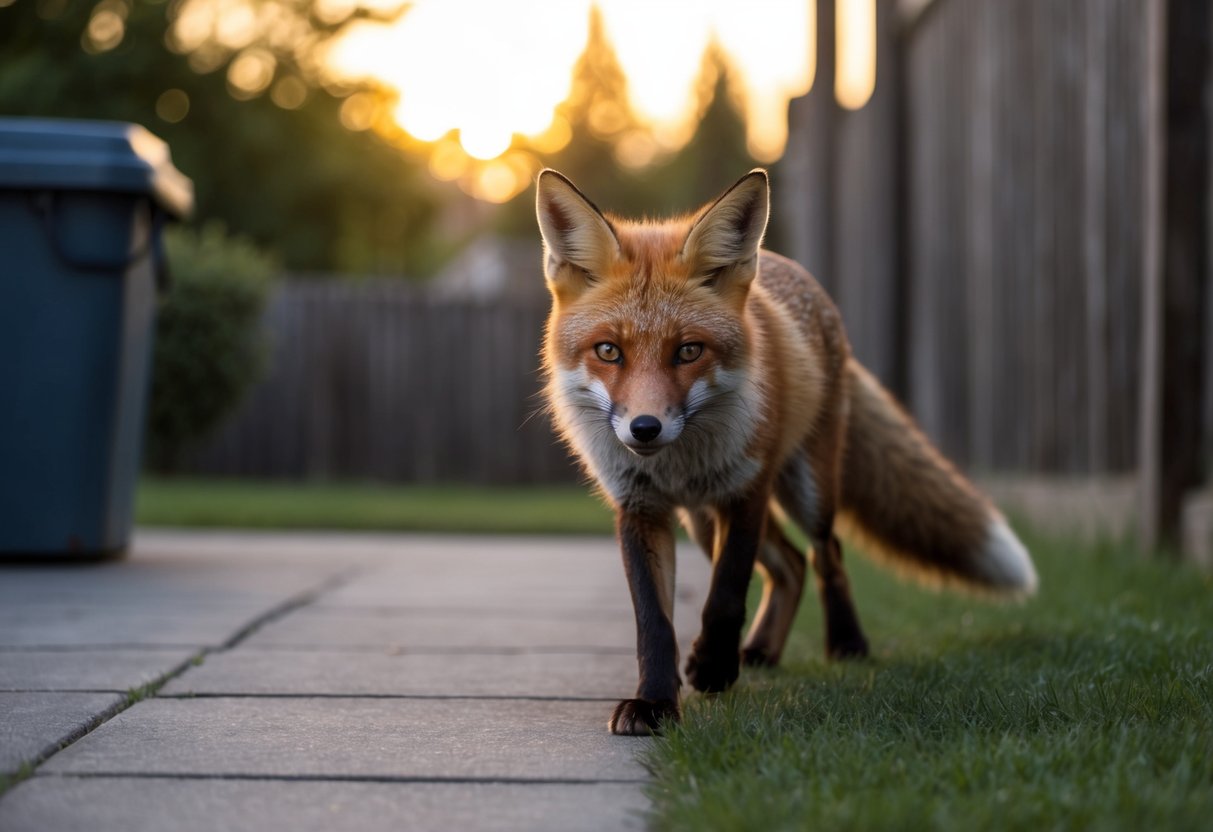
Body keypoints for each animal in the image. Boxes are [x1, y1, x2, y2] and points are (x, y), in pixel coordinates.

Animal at [535, 168, 1038, 735]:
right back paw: (760, 652)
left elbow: (726, 593)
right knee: (790, 565)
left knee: (825, 552)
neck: (678, 462)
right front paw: (656, 702)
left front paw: (713, 668)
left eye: (688, 351)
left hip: (807, 488)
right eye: (608, 351)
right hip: (701, 520)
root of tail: (790, 268)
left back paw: (846, 644)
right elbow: (653, 621)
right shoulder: (640, 507)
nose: (645, 428)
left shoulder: (746, 488)